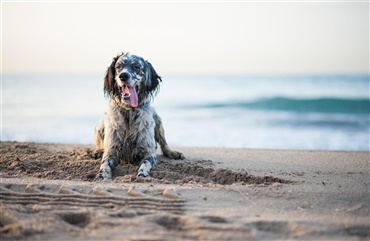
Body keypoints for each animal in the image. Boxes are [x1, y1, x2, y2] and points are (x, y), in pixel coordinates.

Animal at [94, 52, 184, 180]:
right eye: (118, 67)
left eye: (136, 66)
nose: (123, 76)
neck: (129, 112)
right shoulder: (112, 151)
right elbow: (105, 163)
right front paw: (102, 175)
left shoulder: (148, 152)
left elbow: (145, 163)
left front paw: (142, 174)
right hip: (100, 125)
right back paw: (98, 151)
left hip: (158, 121)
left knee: (164, 144)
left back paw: (173, 153)